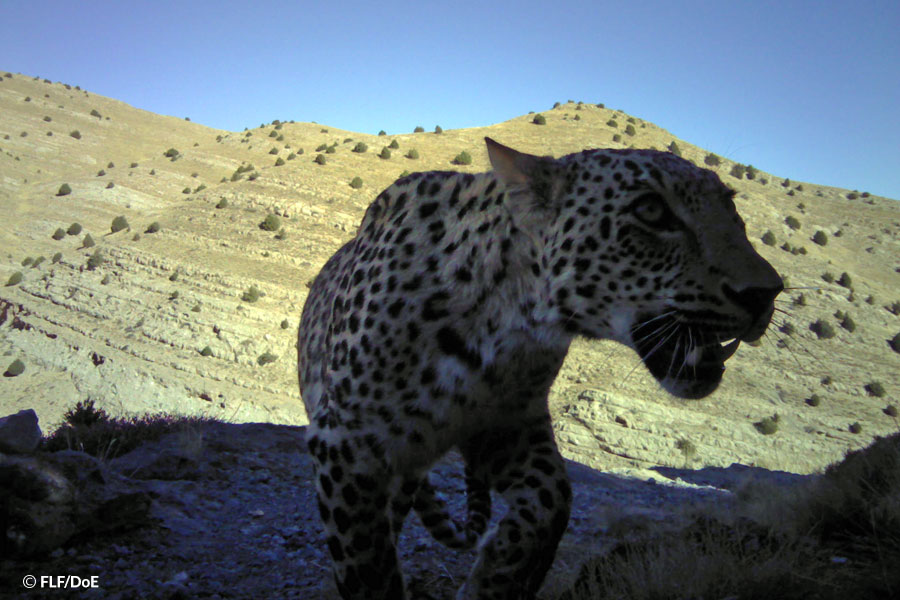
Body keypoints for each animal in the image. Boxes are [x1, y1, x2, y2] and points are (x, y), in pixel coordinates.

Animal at [296, 137, 780, 600]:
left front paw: (493, 582)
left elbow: (552, 501)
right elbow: (368, 566)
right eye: (650, 210)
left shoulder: (507, 426)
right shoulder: (346, 441)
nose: (767, 292)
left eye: (731, 208)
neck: (504, 324)